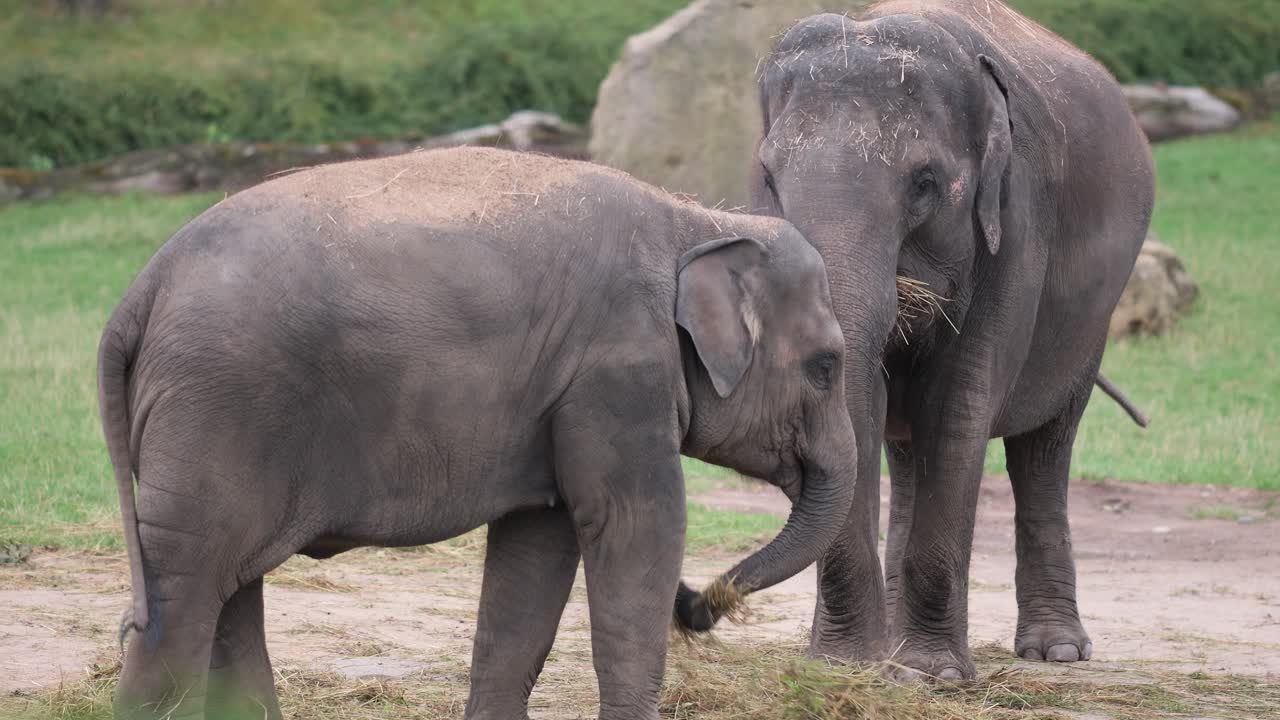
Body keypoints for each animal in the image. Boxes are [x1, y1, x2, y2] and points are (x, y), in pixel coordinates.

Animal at [98, 147, 858, 720]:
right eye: (826, 367)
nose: (701, 602)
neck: (695, 218)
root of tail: (141, 289)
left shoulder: (560, 391)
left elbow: (537, 545)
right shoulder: (617, 371)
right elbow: (636, 524)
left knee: (229, 586)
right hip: (217, 409)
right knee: (188, 583)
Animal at [744, 0, 1156, 679]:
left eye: (925, 183)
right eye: (770, 179)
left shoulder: (1015, 231)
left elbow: (958, 409)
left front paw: (931, 673)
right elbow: (867, 409)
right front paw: (843, 667)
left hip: (1091, 321)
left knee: (1044, 448)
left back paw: (1056, 651)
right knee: (907, 450)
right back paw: (892, 645)